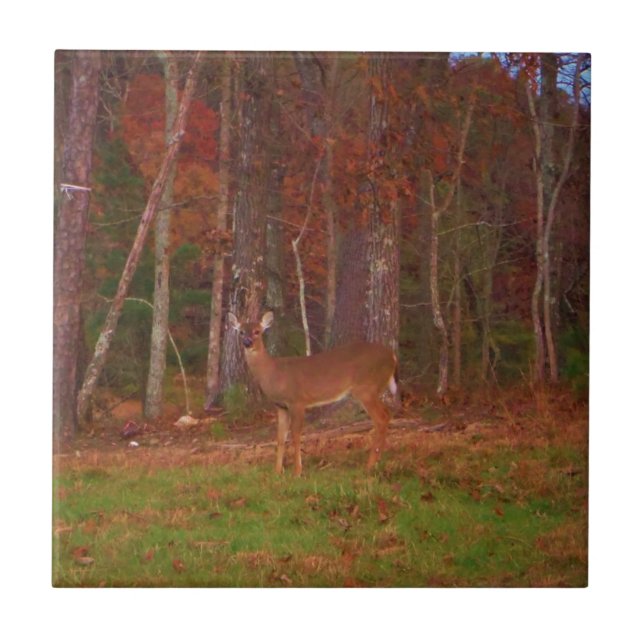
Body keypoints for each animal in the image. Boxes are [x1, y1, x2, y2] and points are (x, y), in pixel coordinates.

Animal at [228, 311, 398, 476]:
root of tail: (393, 356)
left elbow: (296, 435)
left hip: (366, 388)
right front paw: (277, 472)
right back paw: (377, 461)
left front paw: (297, 471)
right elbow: (280, 438)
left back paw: (370, 466)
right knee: (387, 414)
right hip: (371, 389)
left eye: (257, 331)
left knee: (381, 417)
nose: (247, 342)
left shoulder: (297, 400)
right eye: (241, 332)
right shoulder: (281, 406)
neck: (273, 372)